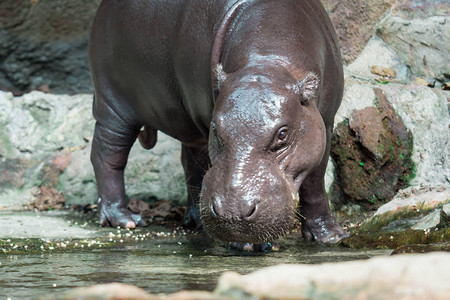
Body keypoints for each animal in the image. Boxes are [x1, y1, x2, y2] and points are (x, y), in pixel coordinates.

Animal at [89, 0, 348, 244]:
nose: (233, 214)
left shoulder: (324, 124)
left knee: (190, 162)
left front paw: (330, 236)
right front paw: (245, 246)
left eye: (282, 134)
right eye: (217, 130)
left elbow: (315, 181)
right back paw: (124, 219)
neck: (268, 60)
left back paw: (195, 221)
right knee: (107, 154)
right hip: (113, 102)